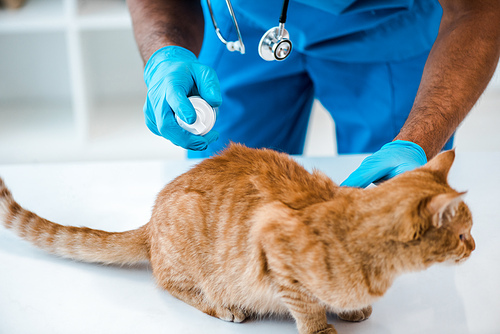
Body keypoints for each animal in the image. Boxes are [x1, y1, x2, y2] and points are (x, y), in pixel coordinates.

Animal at [0, 144, 474, 334]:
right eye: (464, 234)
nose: (475, 247)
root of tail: (152, 217)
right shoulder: (275, 251)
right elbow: (305, 306)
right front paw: (322, 327)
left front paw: (350, 307)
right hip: (189, 244)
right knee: (168, 283)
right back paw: (224, 307)